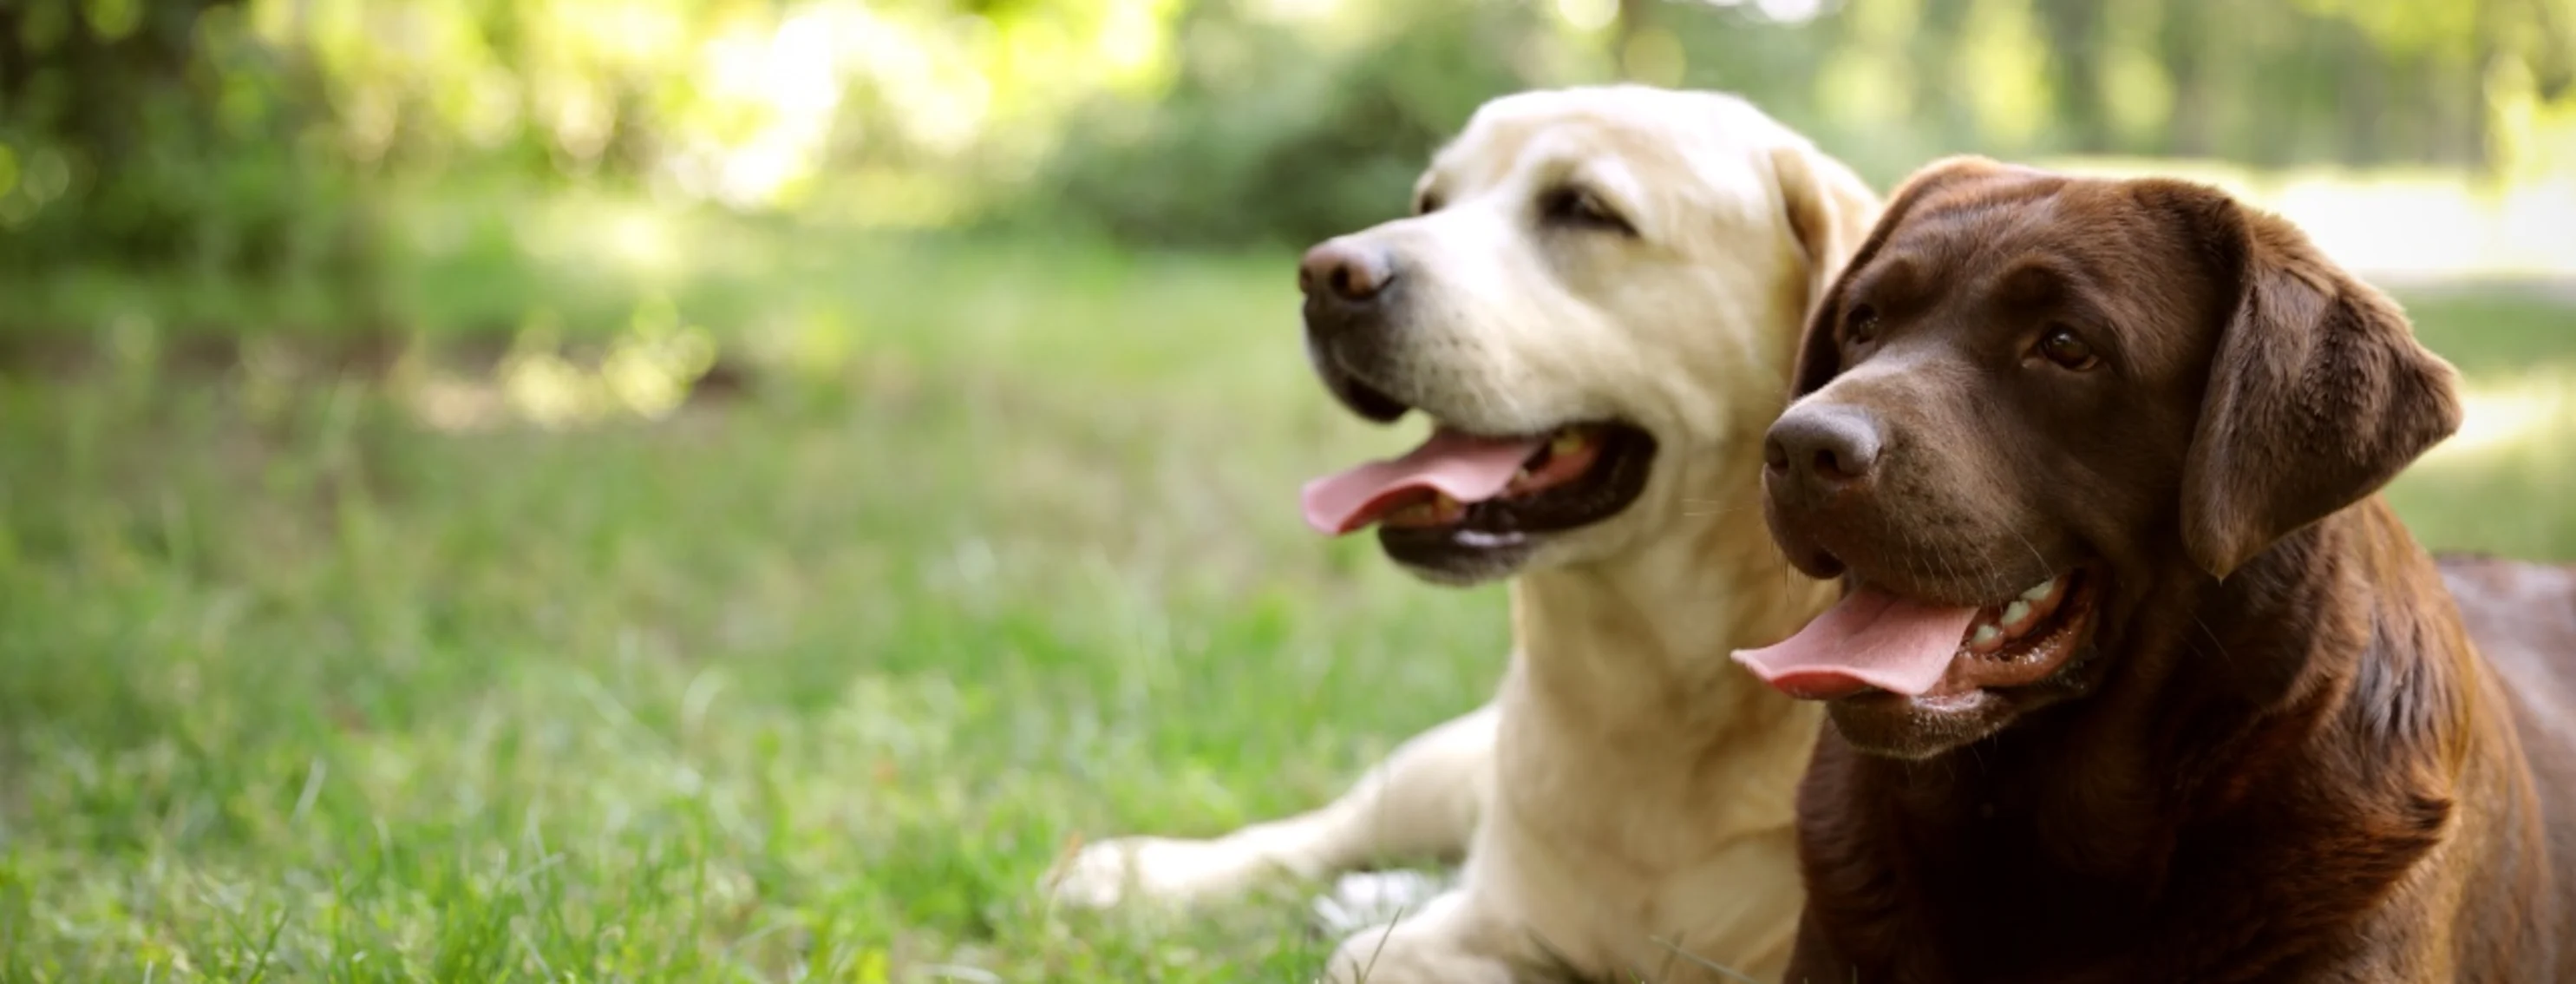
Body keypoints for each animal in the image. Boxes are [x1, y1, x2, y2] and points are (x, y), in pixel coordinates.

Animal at [1035, 86, 1886, 984]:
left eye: (1585, 209)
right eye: (1429, 201)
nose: (1327, 276)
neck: (1657, 683)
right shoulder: (1472, 930)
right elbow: (1375, 946)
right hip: (1439, 765)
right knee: (1316, 836)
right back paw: (1137, 873)